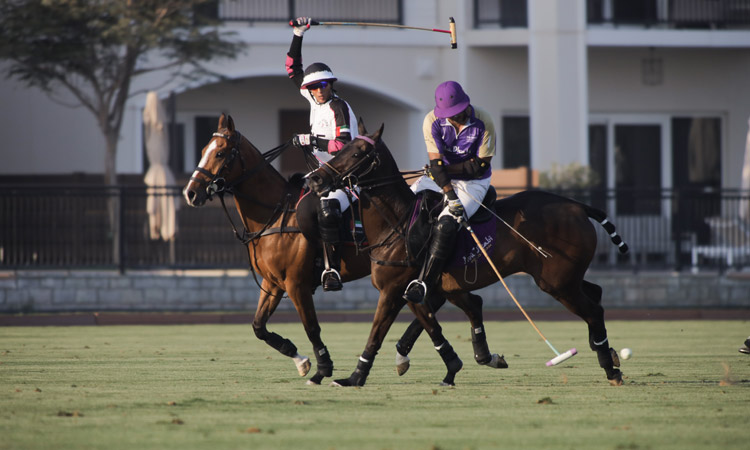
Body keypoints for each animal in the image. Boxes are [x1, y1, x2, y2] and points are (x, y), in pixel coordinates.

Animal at [308, 119, 632, 386]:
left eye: (358, 152)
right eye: (342, 147)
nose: (315, 179)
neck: (397, 223)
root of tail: (578, 206)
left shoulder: (395, 290)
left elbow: (380, 332)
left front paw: (354, 377)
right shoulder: (432, 288)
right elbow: (442, 321)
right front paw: (462, 364)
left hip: (557, 283)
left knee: (594, 310)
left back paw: (610, 367)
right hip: (566, 277)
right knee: (596, 293)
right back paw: (607, 352)